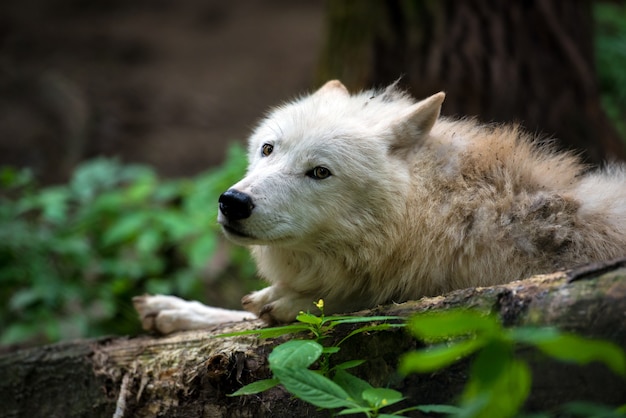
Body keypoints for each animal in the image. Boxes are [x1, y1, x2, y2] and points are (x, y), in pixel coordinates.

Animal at [134, 79, 624, 334]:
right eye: (268, 149)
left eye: (320, 172)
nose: (233, 202)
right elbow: (240, 313)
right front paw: (178, 310)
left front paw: (292, 300)